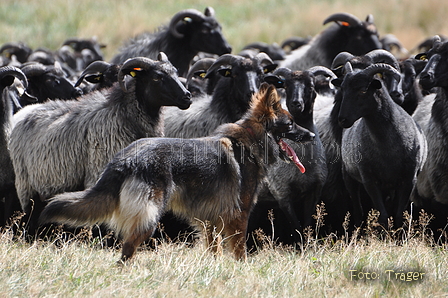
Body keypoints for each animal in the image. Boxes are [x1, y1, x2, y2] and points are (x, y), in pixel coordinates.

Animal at [39, 83, 316, 260]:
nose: (312, 136)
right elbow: (240, 253)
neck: (251, 139)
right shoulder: (238, 216)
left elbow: (213, 251)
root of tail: (124, 159)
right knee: (125, 253)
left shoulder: (210, 221)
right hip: (148, 218)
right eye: (291, 124)